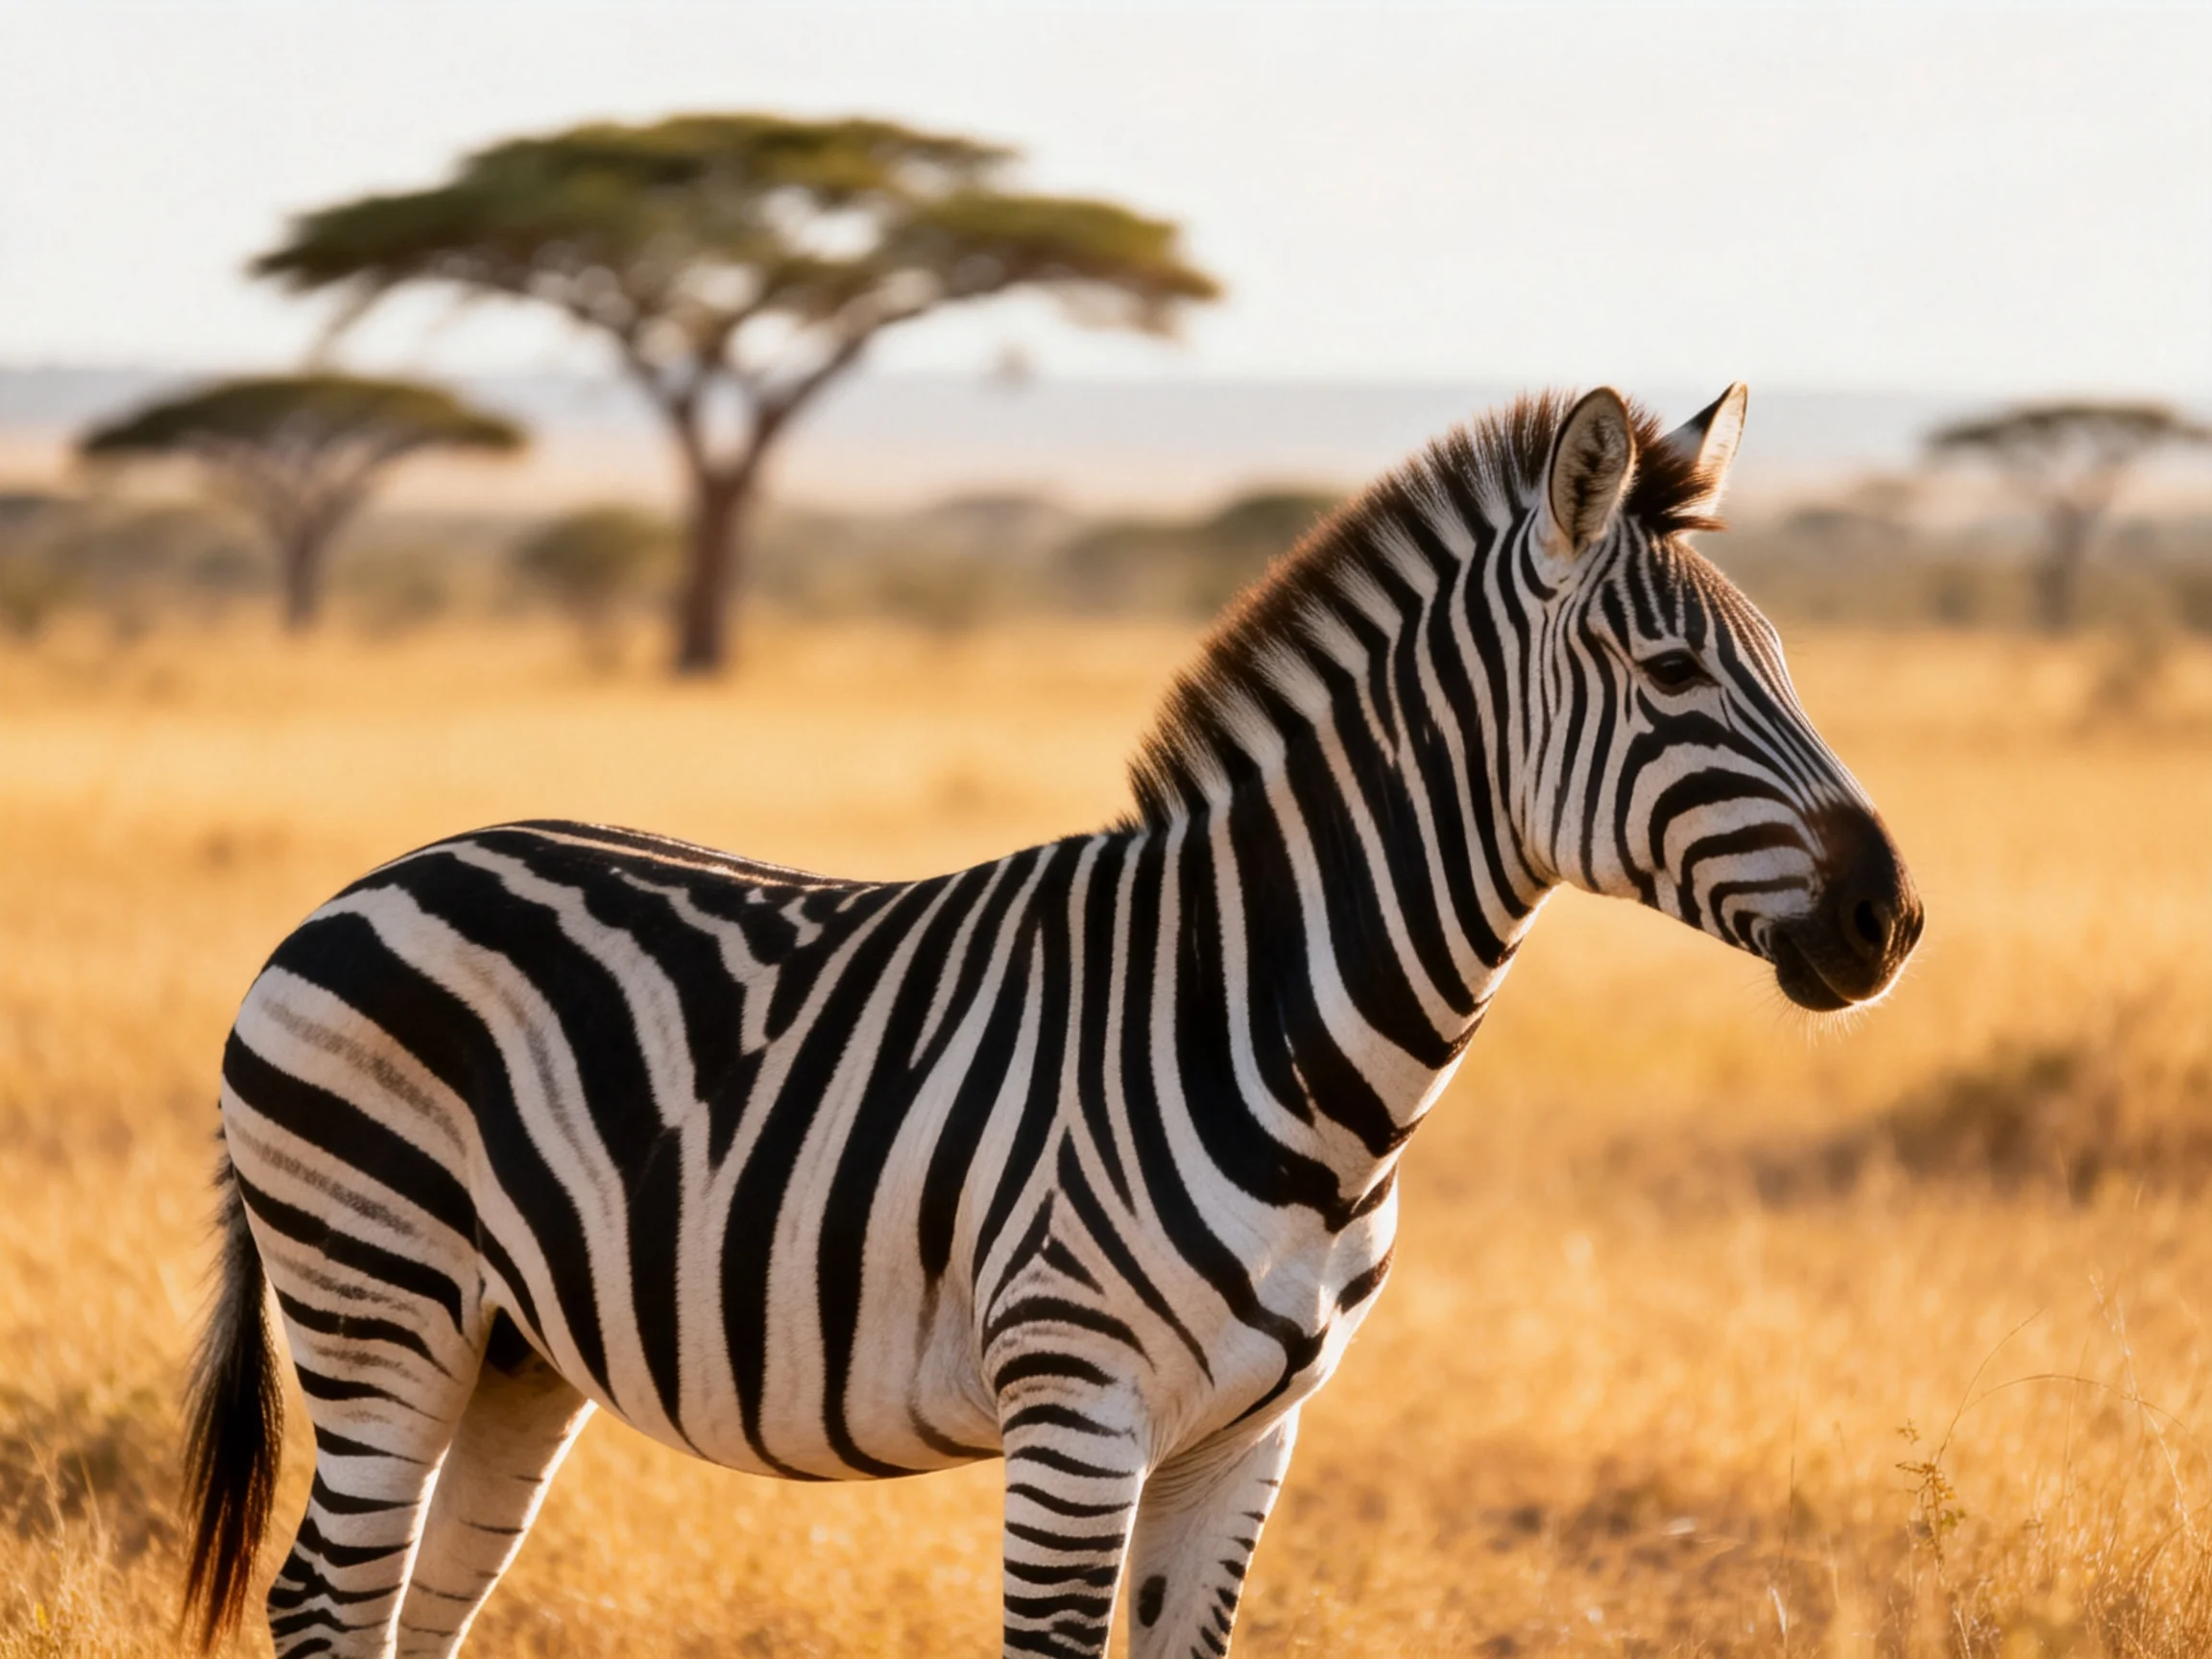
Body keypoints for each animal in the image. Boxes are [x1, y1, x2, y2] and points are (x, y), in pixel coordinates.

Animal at [181, 384, 1921, 1658]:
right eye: (1670, 673)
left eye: (1781, 658)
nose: (1887, 917)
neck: (1282, 1040)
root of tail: (356, 889)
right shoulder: (1077, 1411)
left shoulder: (1250, 1436)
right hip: (378, 1297)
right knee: (325, 1598)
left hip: (511, 1348)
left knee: (414, 1606)